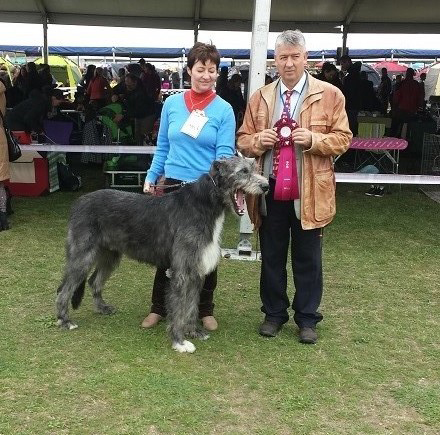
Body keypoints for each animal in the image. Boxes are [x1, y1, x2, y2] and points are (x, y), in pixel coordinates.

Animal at [55, 157, 268, 354]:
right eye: (243, 171)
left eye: (255, 168)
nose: (265, 186)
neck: (206, 203)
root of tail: (78, 203)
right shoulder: (181, 272)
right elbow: (179, 309)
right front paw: (179, 341)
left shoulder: (196, 271)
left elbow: (192, 306)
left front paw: (194, 331)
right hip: (82, 256)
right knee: (64, 289)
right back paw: (65, 320)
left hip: (111, 255)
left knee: (94, 281)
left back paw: (102, 308)